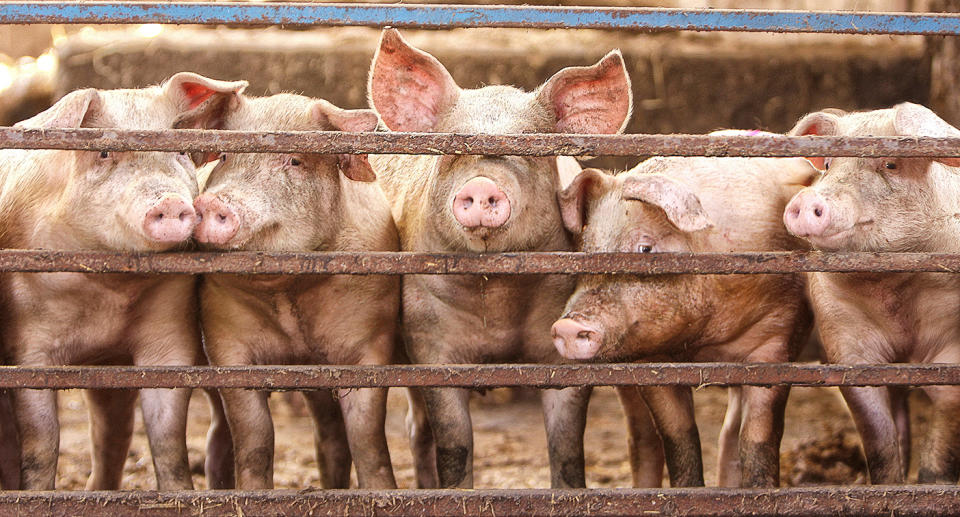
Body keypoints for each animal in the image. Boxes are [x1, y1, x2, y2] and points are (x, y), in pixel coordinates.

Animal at [0, 72, 246, 488]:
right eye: (103, 153)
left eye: (181, 152)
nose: (170, 202)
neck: (110, 294)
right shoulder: (28, 345)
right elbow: (42, 444)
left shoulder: (169, 333)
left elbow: (168, 441)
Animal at [186, 90, 406, 490]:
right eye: (224, 156)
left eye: (294, 160)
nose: (213, 203)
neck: (288, 292)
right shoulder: (224, 341)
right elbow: (255, 436)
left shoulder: (371, 340)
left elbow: (367, 437)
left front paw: (382, 492)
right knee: (220, 437)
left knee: (332, 437)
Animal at [366, 28, 632, 488]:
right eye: (451, 149)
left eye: (529, 147)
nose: (482, 185)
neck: (498, 295)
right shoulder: (428, 339)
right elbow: (455, 444)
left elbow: (567, 447)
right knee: (419, 429)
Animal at [552, 146, 812, 488]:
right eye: (586, 251)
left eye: (645, 249)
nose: (568, 326)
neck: (707, 341)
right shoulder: (651, 358)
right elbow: (679, 437)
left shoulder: (777, 337)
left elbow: (759, 435)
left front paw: (761, 490)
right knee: (642, 438)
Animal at [784, 104, 960, 484]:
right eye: (829, 165)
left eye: (891, 164)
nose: (807, 198)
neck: (892, 289)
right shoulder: (845, 338)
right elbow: (878, 438)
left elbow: (942, 441)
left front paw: (932, 484)